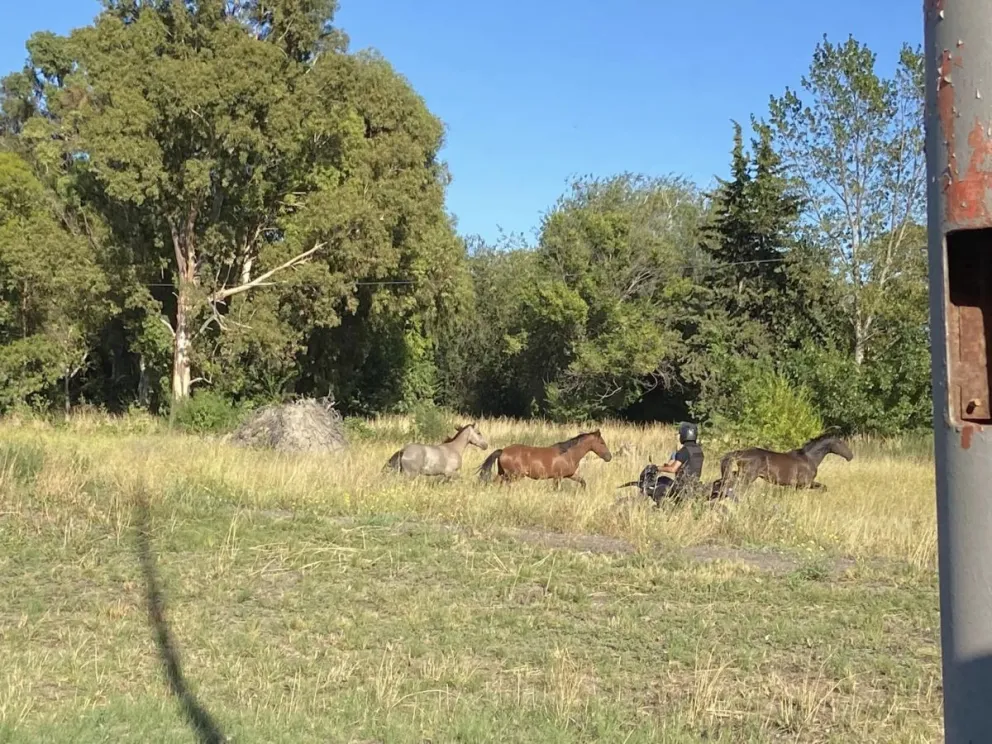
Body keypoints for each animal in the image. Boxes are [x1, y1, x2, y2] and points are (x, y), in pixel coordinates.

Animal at [477, 429, 612, 488]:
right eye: (602, 443)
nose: (609, 457)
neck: (568, 454)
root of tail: (503, 451)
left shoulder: (570, 475)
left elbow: (583, 482)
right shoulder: (558, 477)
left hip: (503, 473)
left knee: (496, 483)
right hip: (514, 475)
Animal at [718, 431, 854, 493]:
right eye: (840, 442)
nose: (850, 456)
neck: (809, 458)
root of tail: (740, 453)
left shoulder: (798, 486)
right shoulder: (805, 484)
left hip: (741, 473)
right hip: (748, 477)